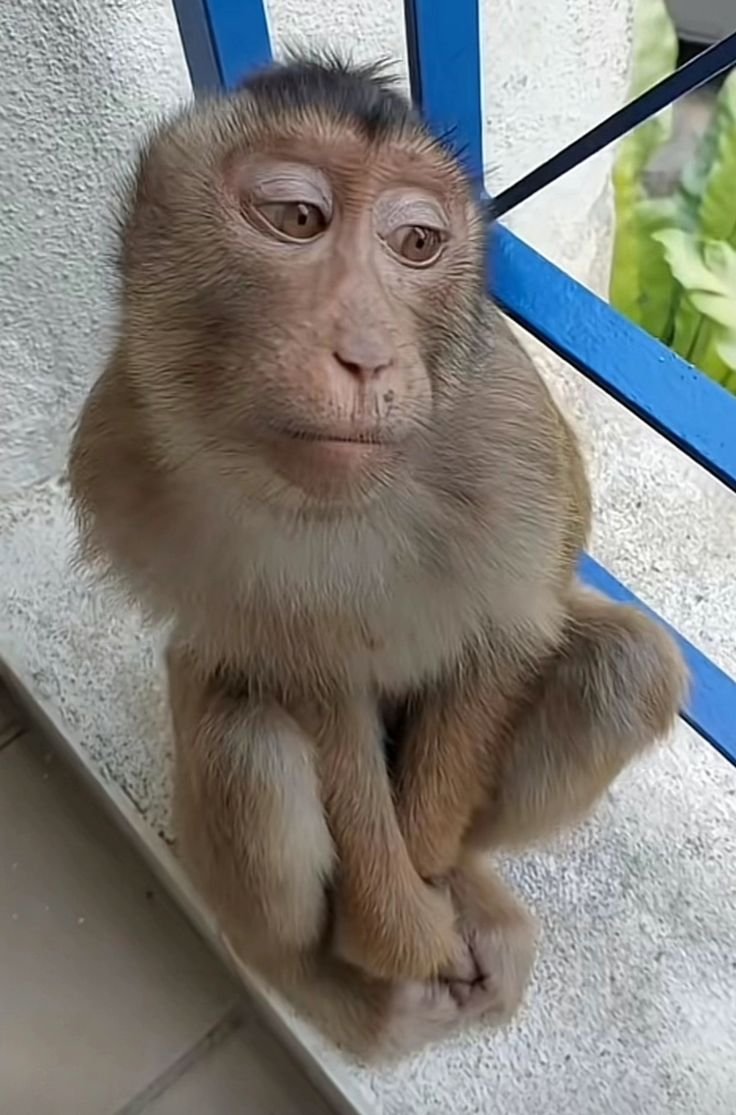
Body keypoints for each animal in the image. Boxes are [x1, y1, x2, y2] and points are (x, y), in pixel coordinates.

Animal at [67, 53, 687, 1057]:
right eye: (295, 218)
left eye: (418, 242)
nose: (364, 354)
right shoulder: (120, 440)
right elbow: (309, 683)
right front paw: (398, 932)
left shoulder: (511, 431)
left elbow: (507, 638)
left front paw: (429, 880)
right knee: (247, 741)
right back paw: (316, 978)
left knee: (627, 667)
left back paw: (465, 878)